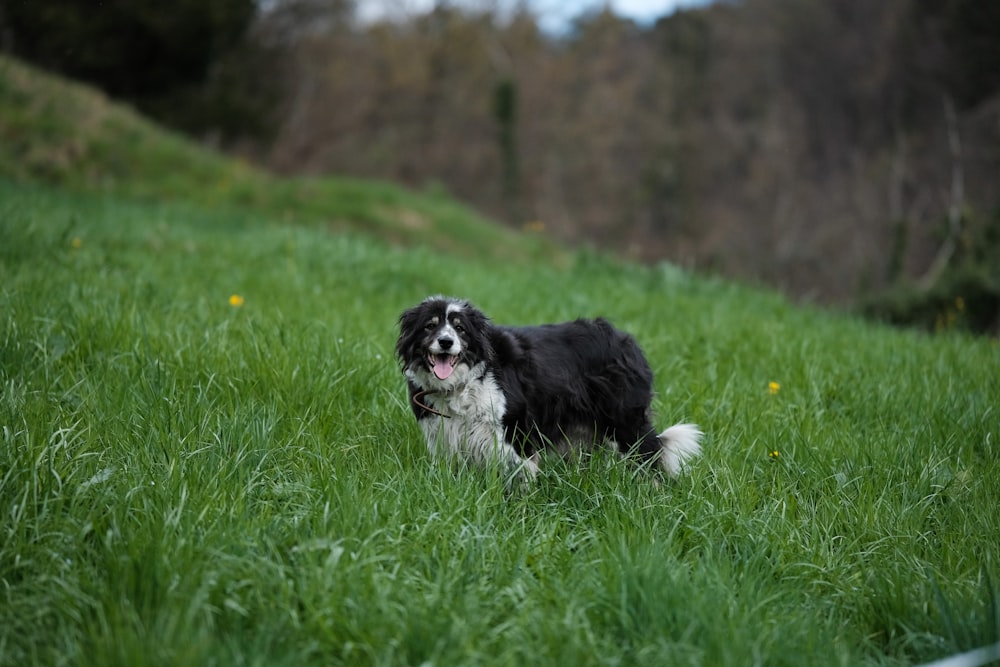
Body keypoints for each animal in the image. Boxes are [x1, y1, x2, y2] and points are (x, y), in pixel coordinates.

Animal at [392, 298, 704, 486]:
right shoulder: (446, 435)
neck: (463, 383)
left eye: (460, 329)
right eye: (430, 326)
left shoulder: (515, 432)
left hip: (625, 422)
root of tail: (625, 339)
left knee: (651, 455)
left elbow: (521, 475)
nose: (445, 342)